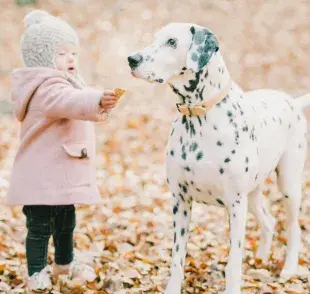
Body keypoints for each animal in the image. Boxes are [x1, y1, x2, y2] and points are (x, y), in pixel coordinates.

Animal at [126, 23, 310, 294]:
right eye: (154, 38)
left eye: (172, 42)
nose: (132, 59)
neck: (199, 117)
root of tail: (291, 101)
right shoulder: (180, 201)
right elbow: (177, 259)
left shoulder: (235, 205)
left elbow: (233, 263)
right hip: (252, 196)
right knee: (268, 222)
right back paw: (261, 258)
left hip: (288, 185)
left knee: (293, 227)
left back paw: (289, 268)